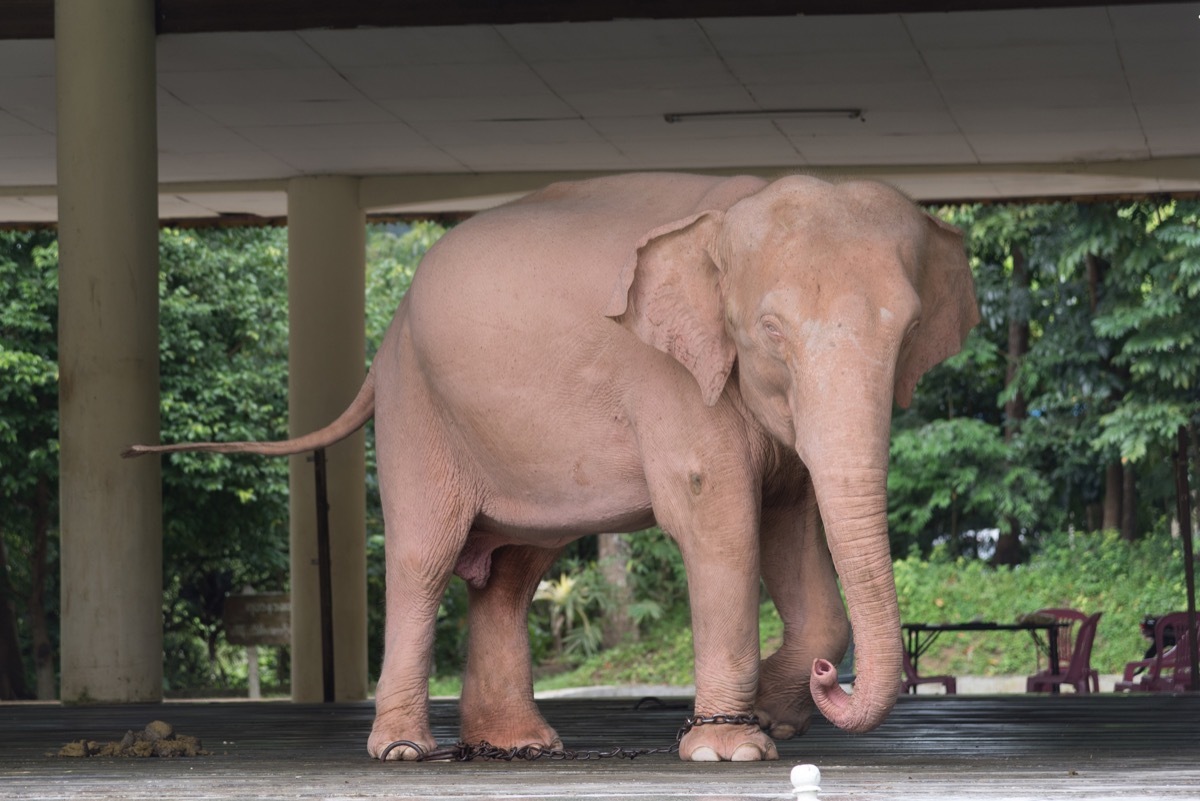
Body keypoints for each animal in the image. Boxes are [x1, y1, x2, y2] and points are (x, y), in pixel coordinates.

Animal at [129, 170, 974, 762]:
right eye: (769, 330)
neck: (731, 211)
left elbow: (791, 523)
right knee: (424, 556)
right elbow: (719, 517)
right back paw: (403, 748)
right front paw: (731, 748)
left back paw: (518, 744)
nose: (833, 678)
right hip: (415, 408)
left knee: (511, 571)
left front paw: (775, 714)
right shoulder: (669, 379)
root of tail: (385, 337)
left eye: (909, 330)